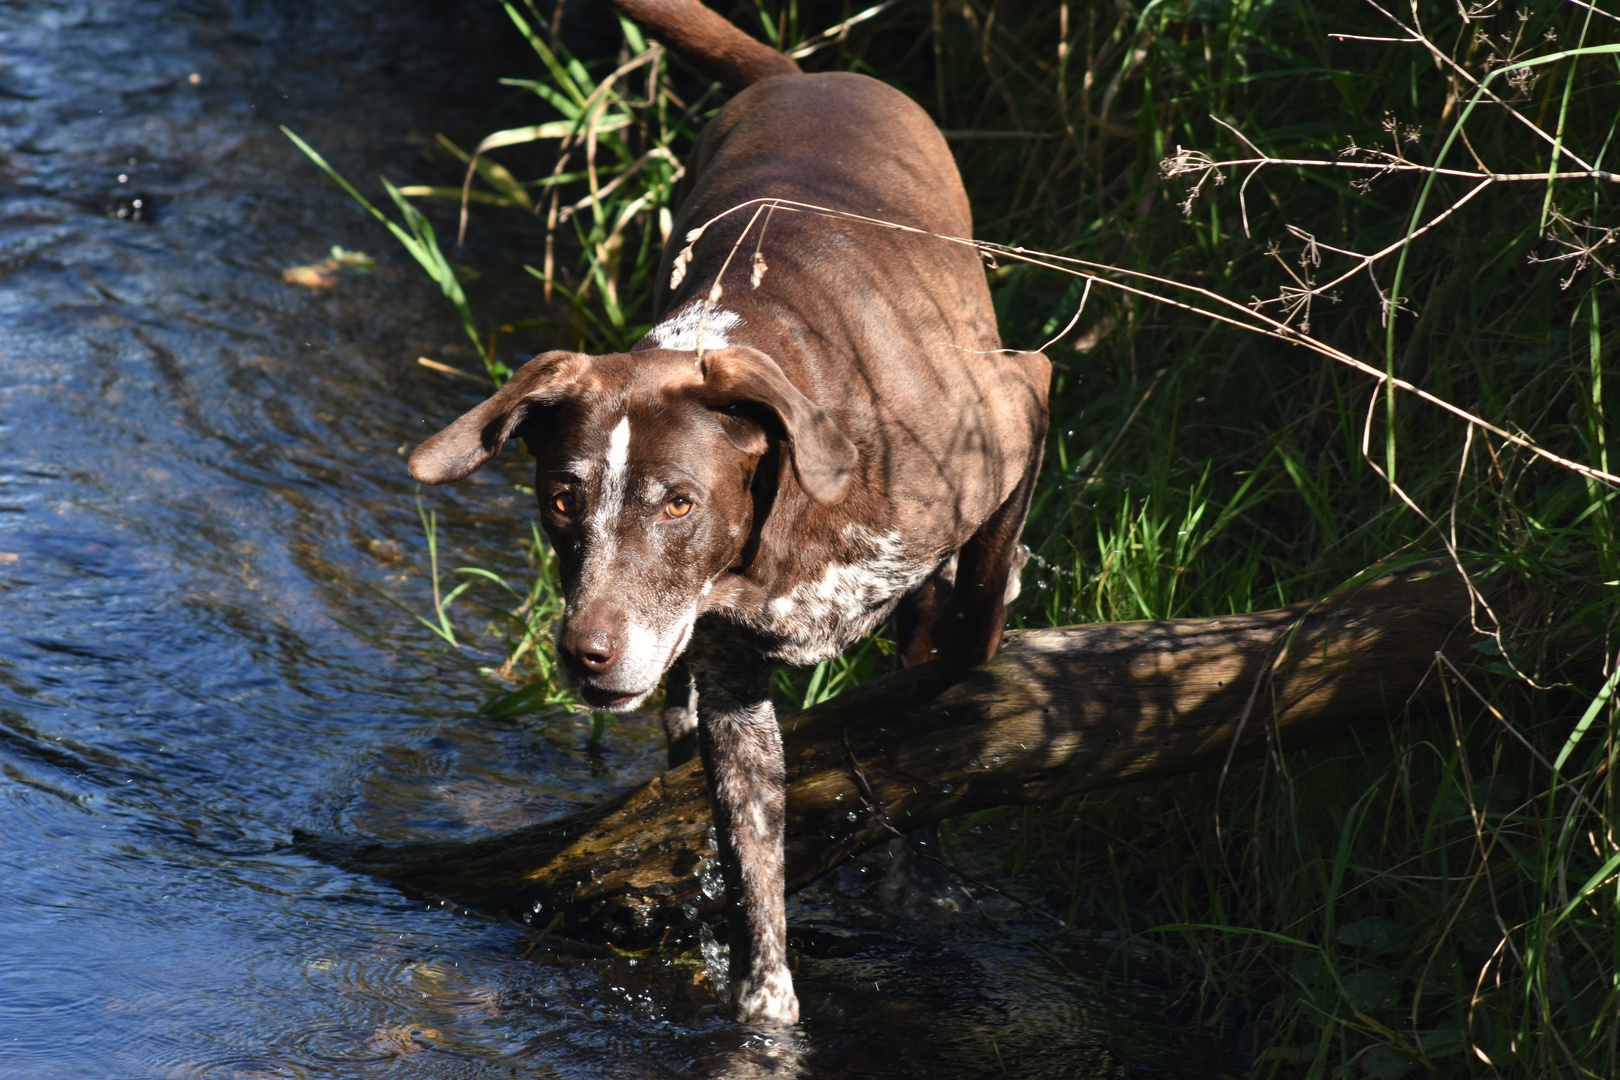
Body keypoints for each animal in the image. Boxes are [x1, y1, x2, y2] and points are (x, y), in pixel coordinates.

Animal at [408, 0, 1049, 1029]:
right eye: (562, 499)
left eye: (679, 502)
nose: (585, 653)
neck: (780, 536)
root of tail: (801, 76)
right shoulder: (731, 694)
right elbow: (753, 874)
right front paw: (766, 1017)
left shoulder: (1023, 396)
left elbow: (975, 608)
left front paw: (981, 617)